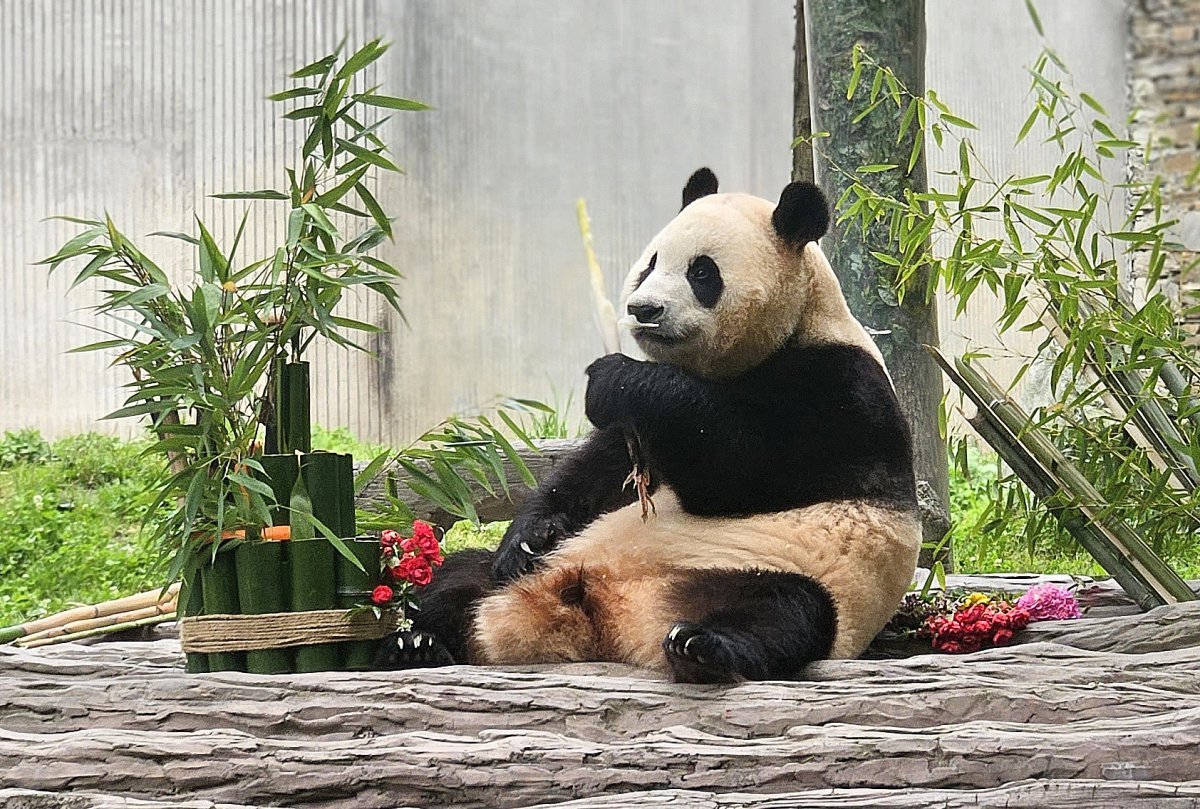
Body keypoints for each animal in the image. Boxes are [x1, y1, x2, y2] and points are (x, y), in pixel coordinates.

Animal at [384, 168, 916, 681]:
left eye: (702, 272)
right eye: (651, 263)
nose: (644, 309)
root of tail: (604, 617)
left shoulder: (841, 390)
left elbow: (741, 472)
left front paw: (614, 377)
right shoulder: (635, 436)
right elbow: (592, 474)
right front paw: (530, 536)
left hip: (784, 575)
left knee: (787, 611)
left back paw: (701, 648)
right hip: (527, 574)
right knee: (459, 575)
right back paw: (420, 643)